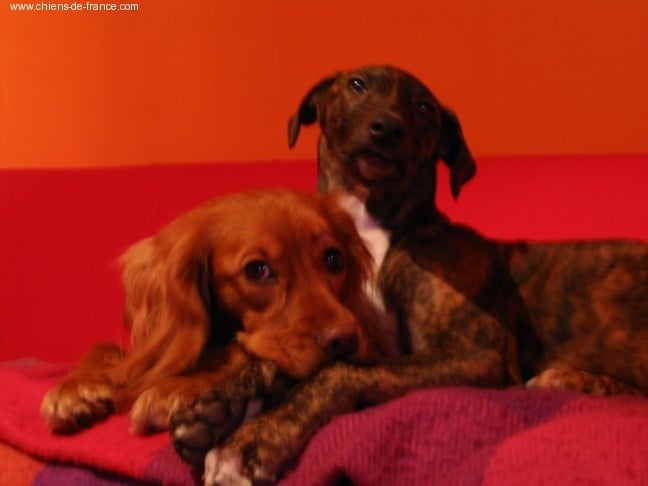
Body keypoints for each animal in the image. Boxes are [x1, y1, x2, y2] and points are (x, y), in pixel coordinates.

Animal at [40, 188, 396, 441]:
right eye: (257, 270)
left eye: (334, 258)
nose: (347, 340)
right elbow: (108, 349)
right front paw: (77, 388)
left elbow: (234, 349)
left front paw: (174, 390)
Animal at [170, 66, 648, 484]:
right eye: (358, 85)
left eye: (424, 108)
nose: (387, 128)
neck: (373, 227)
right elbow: (293, 363)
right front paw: (221, 405)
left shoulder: (477, 352)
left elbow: (337, 372)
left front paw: (253, 441)